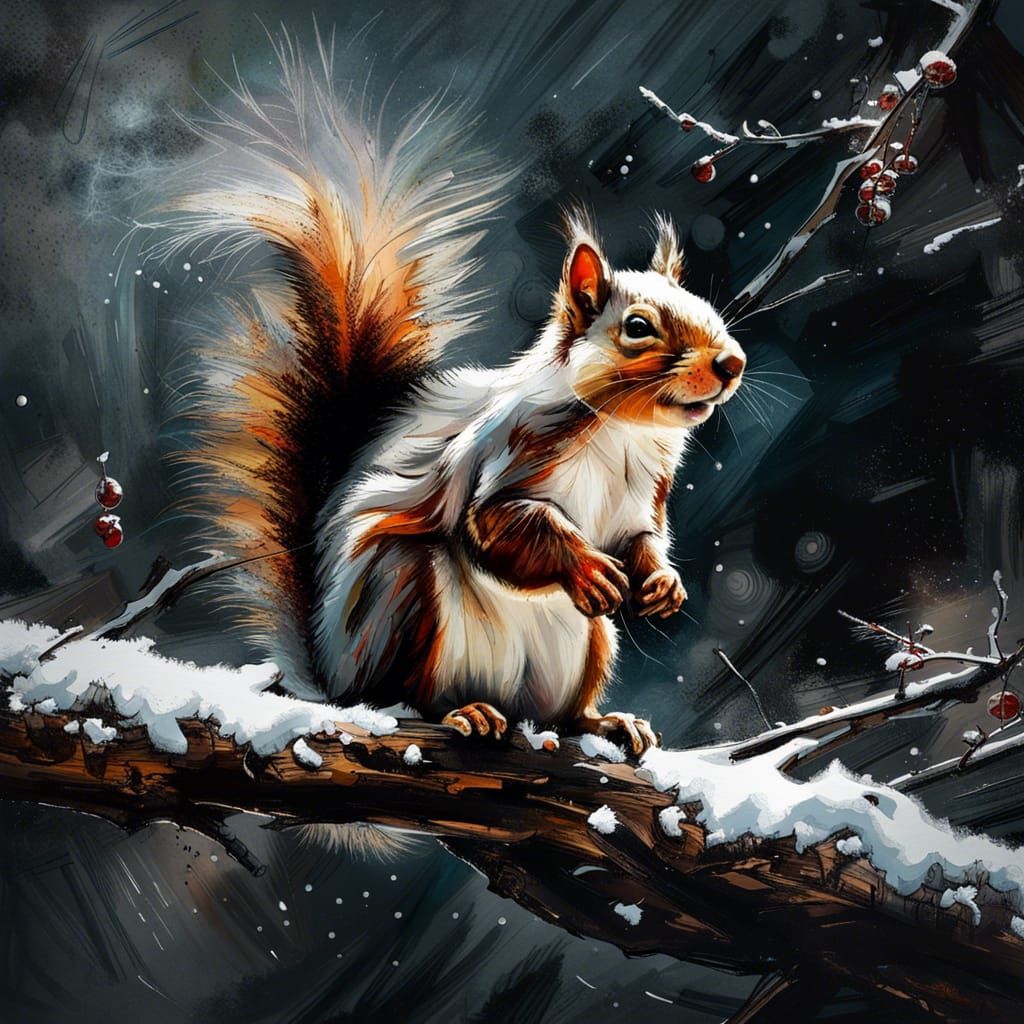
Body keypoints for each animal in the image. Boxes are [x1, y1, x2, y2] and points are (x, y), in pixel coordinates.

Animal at [166, 49, 745, 759]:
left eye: (708, 309)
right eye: (637, 328)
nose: (731, 363)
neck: (623, 431)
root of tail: (333, 680)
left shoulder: (646, 497)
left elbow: (643, 540)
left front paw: (662, 582)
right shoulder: (510, 452)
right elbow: (498, 525)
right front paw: (586, 567)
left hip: (588, 647)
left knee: (563, 714)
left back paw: (603, 722)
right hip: (405, 597)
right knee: (409, 696)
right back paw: (462, 712)